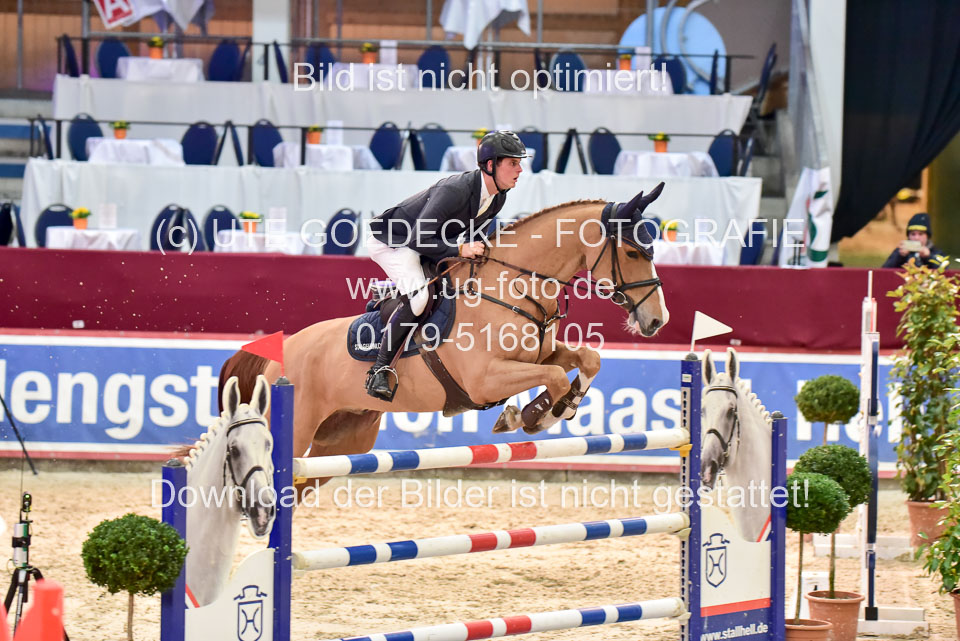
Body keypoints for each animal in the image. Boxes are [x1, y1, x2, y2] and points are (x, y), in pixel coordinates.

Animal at [219, 185, 670, 491]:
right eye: (633, 252)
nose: (657, 321)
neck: (513, 286)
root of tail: (279, 355)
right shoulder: (486, 379)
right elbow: (557, 378)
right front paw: (534, 415)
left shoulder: (539, 356)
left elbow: (586, 360)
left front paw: (553, 408)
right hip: (297, 431)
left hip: (343, 440)